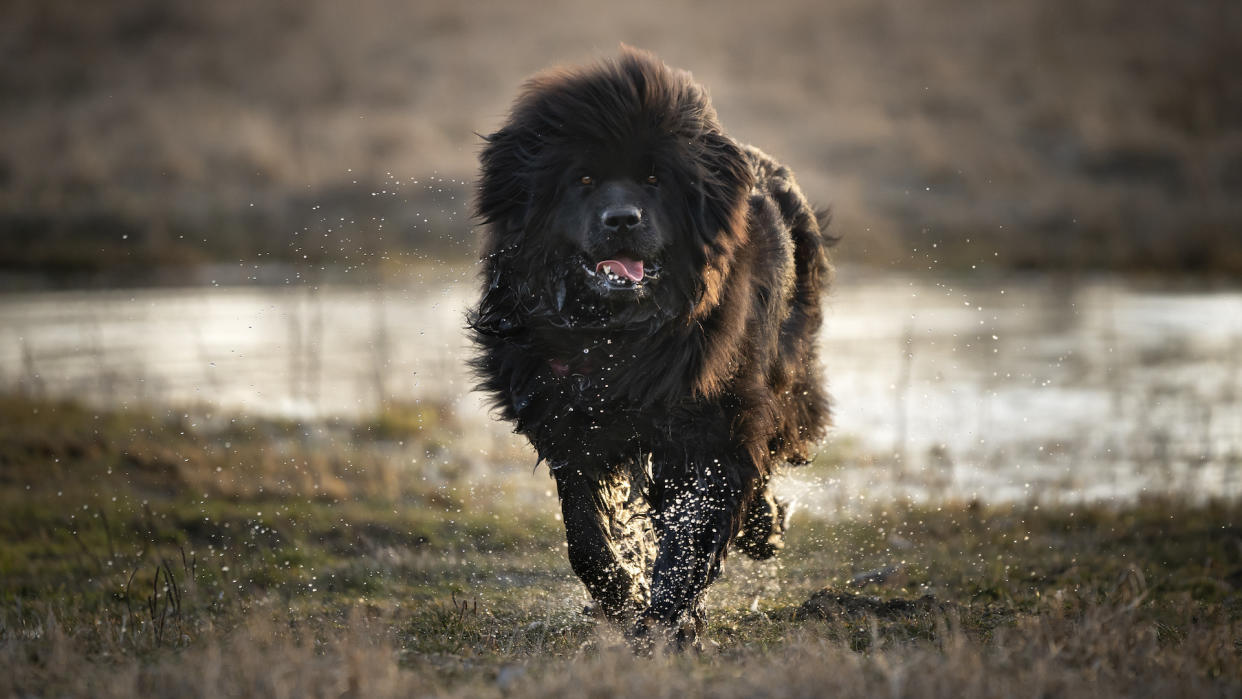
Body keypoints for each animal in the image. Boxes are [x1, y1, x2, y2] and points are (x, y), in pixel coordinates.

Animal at [466, 49, 834, 650]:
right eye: (583, 178)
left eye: (655, 180)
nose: (622, 219)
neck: (620, 338)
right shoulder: (569, 422)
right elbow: (586, 535)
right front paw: (623, 598)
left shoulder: (715, 423)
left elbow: (693, 532)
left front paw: (665, 622)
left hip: (783, 373)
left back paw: (765, 529)